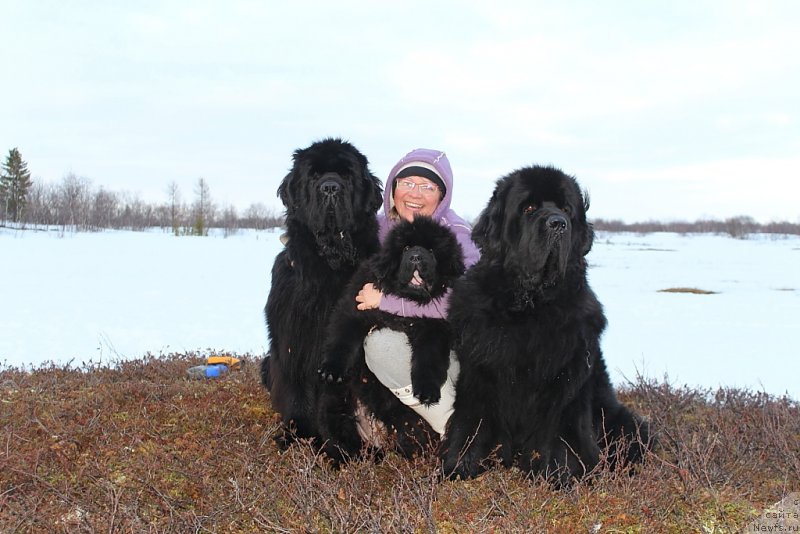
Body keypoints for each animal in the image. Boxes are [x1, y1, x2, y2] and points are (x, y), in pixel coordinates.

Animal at [262, 136, 384, 446]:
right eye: (314, 176)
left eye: (347, 175)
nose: (330, 187)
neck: (330, 265)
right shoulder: (295, 337)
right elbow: (297, 391)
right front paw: (297, 434)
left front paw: (339, 443)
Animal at [316, 218, 466, 464]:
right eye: (406, 248)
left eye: (431, 250)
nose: (416, 256)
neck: (406, 301)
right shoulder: (355, 307)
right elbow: (343, 338)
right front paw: (331, 369)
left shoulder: (434, 328)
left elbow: (429, 358)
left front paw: (426, 390)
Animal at [440, 166, 652, 486]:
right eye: (528, 208)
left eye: (566, 209)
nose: (557, 224)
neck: (530, 306)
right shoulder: (480, 370)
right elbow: (470, 421)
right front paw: (458, 466)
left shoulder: (566, 376)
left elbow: (561, 428)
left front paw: (560, 474)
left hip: (622, 421)